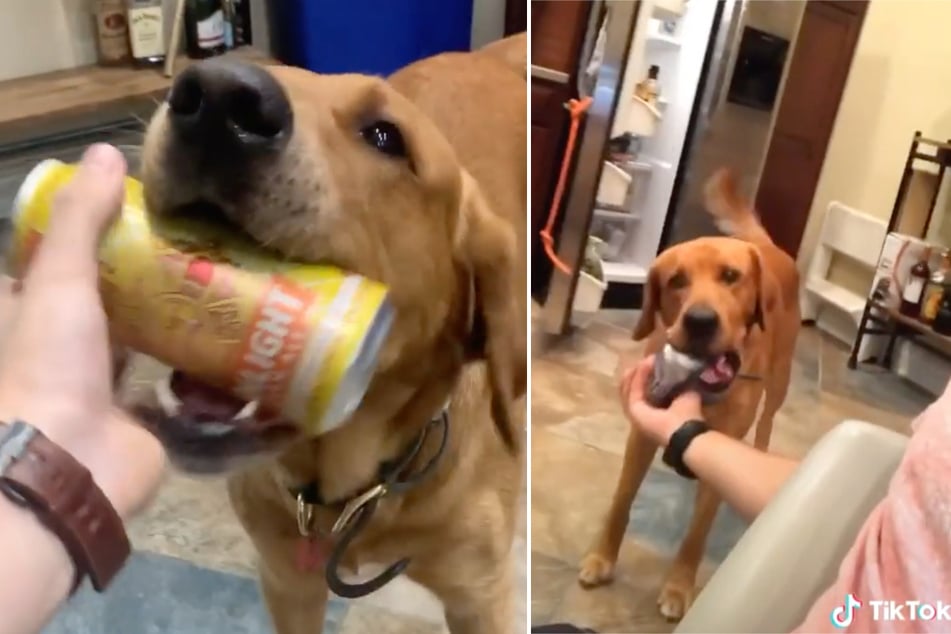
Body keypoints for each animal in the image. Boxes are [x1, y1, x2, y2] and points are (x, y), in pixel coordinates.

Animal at [576, 167, 800, 616]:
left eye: (731, 276)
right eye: (676, 280)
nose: (699, 321)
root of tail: (768, 248)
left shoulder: (723, 445)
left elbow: (697, 533)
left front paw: (679, 586)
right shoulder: (643, 432)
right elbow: (622, 499)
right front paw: (602, 556)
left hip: (780, 380)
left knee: (767, 422)